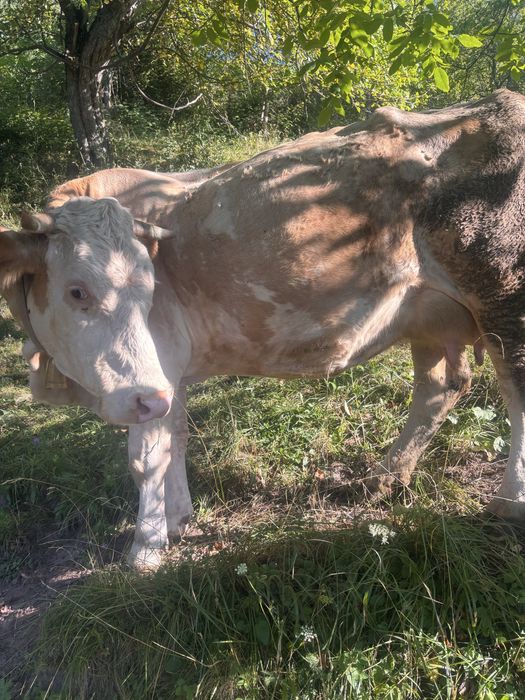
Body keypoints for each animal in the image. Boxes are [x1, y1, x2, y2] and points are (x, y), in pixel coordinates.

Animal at [1, 89, 524, 570]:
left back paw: (509, 501)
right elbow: (174, 438)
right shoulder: (164, 373)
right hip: (429, 316)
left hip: (503, 297)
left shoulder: (152, 374)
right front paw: (178, 520)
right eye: (77, 291)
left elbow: (147, 457)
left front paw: (145, 552)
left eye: (147, 287)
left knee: (514, 390)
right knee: (440, 387)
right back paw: (386, 477)